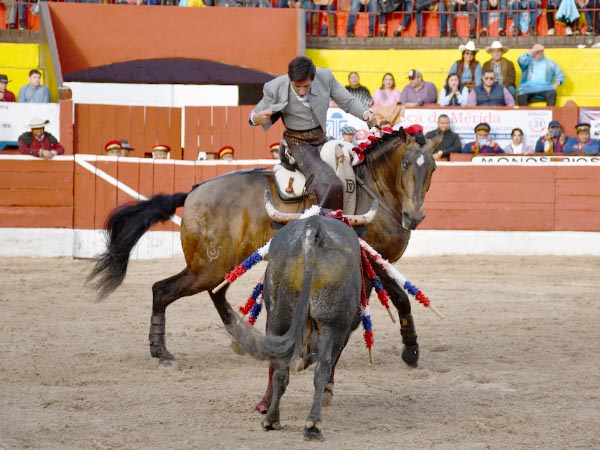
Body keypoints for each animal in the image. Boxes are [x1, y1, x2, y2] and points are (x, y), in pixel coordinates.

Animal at [88, 128, 436, 368]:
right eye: (406, 164)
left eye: (431, 167)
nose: (415, 216)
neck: (373, 190)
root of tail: (194, 191)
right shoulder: (376, 259)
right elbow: (400, 298)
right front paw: (411, 350)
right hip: (206, 267)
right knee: (163, 290)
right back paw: (161, 351)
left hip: (220, 265)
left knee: (215, 294)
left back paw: (246, 341)